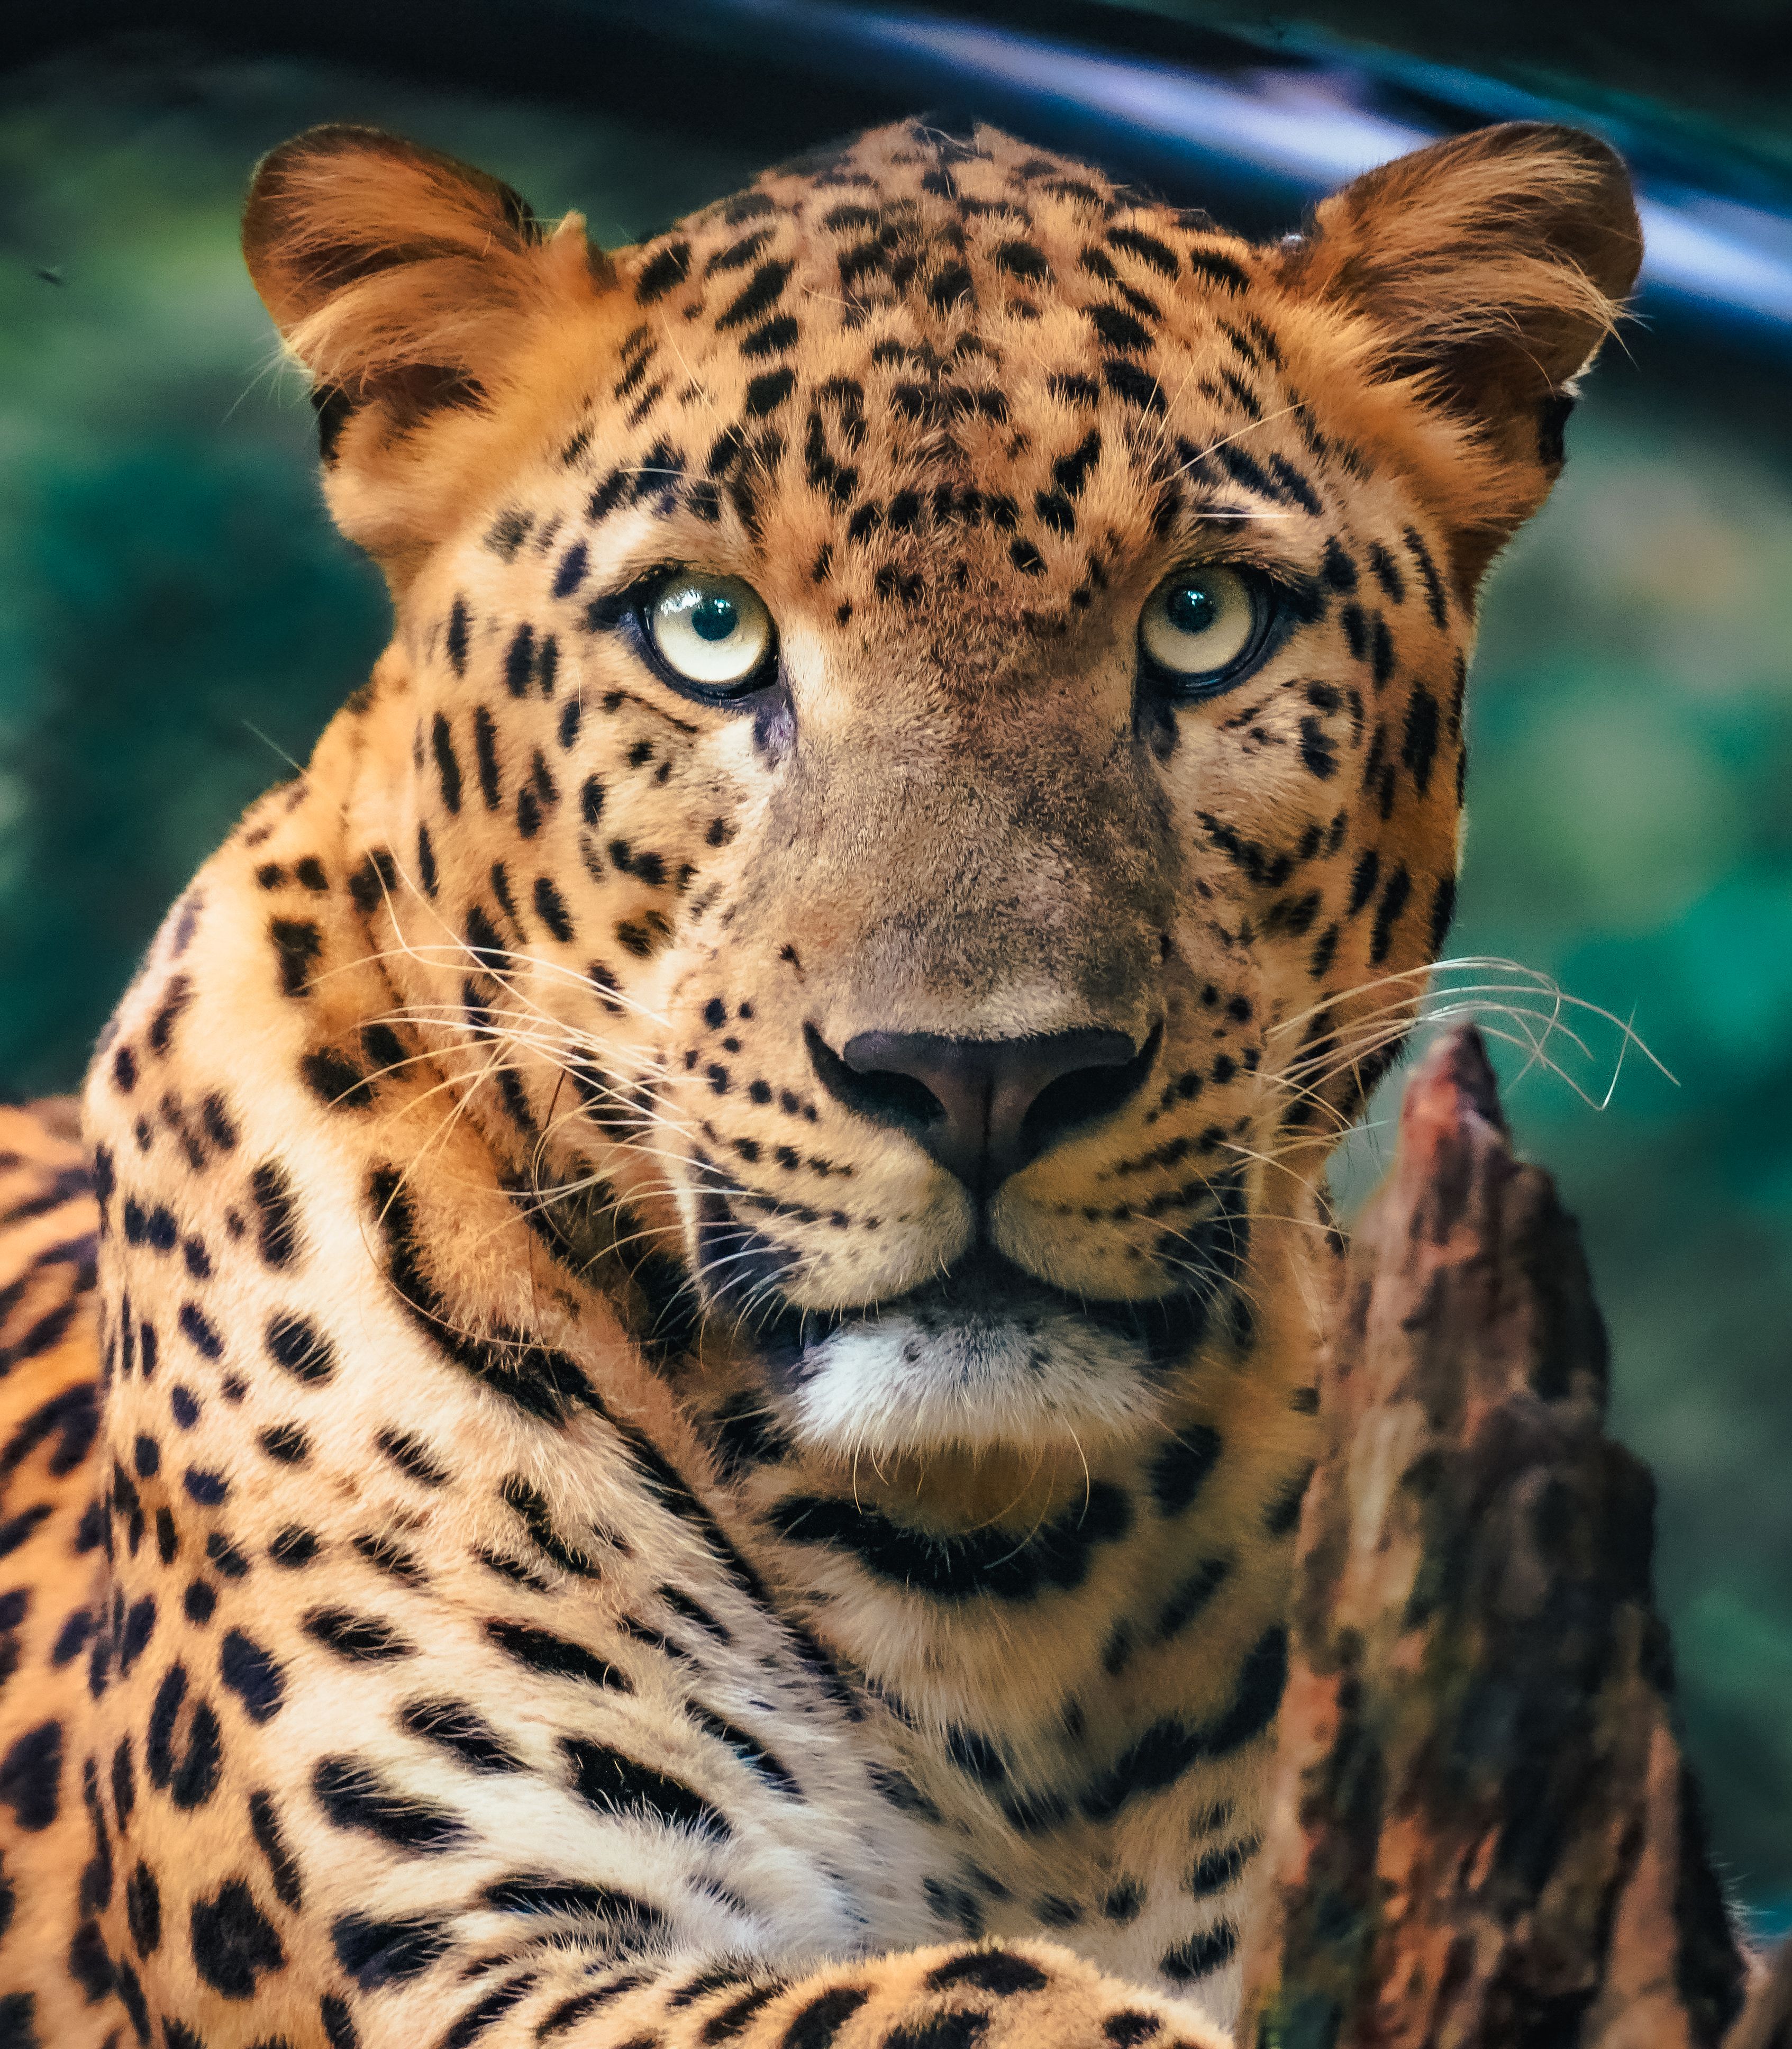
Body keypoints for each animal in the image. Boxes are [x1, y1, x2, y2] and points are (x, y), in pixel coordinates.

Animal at [0, 112, 1641, 2049]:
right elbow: (968, 1995)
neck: (993, 1600)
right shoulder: (463, 1962)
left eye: (1202, 619)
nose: (983, 1077)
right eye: (705, 629)